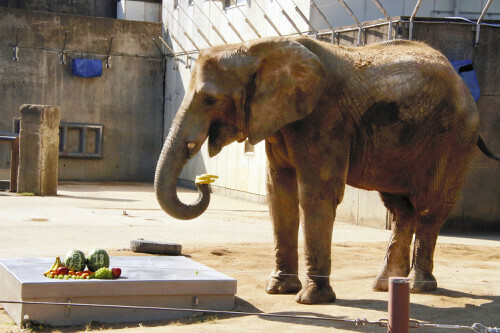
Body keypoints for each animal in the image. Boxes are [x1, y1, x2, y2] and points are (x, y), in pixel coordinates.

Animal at [154, 37, 498, 304]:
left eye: (210, 100)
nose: (203, 181)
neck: (256, 48)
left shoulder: (324, 117)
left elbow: (316, 195)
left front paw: (310, 299)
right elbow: (279, 196)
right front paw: (277, 289)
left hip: (452, 138)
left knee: (429, 207)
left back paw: (419, 287)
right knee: (401, 209)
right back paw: (385, 285)